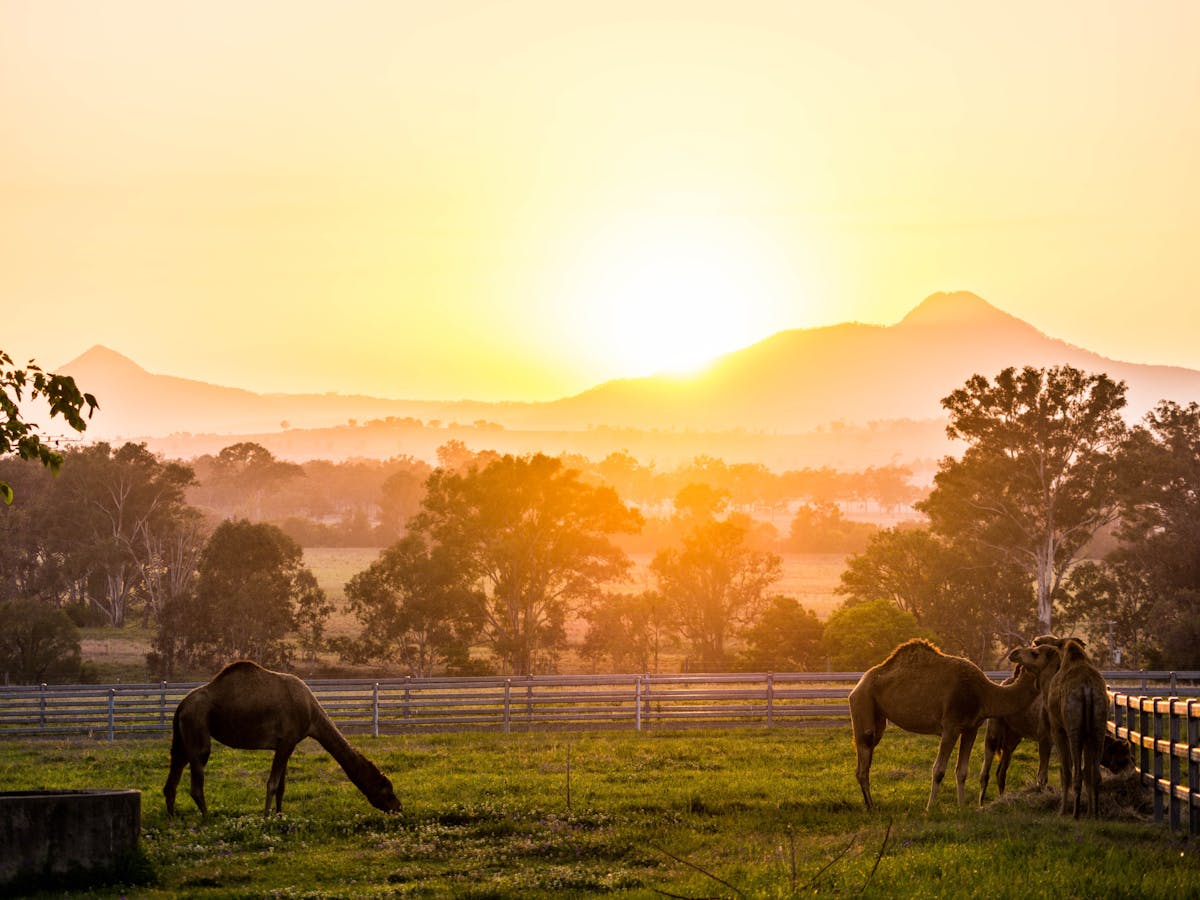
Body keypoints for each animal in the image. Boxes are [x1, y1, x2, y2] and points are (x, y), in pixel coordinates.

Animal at [163, 660, 401, 817]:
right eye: (388, 791)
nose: (399, 807)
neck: (312, 715)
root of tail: (181, 705)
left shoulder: (288, 743)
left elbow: (282, 786)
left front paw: (279, 815)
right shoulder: (286, 741)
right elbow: (272, 783)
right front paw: (266, 817)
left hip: (182, 737)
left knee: (174, 774)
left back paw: (172, 820)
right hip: (197, 727)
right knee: (196, 778)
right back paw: (207, 818)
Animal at [850, 638, 1053, 811]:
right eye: (1035, 652)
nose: (1014, 653)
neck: (984, 693)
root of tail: (857, 685)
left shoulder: (971, 728)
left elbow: (962, 771)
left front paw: (961, 807)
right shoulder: (951, 726)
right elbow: (938, 770)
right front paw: (930, 808)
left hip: (877, 717)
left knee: (867, 756)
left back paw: (870, 805)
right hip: (863, 701)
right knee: (863, 757)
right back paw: (871, 807)